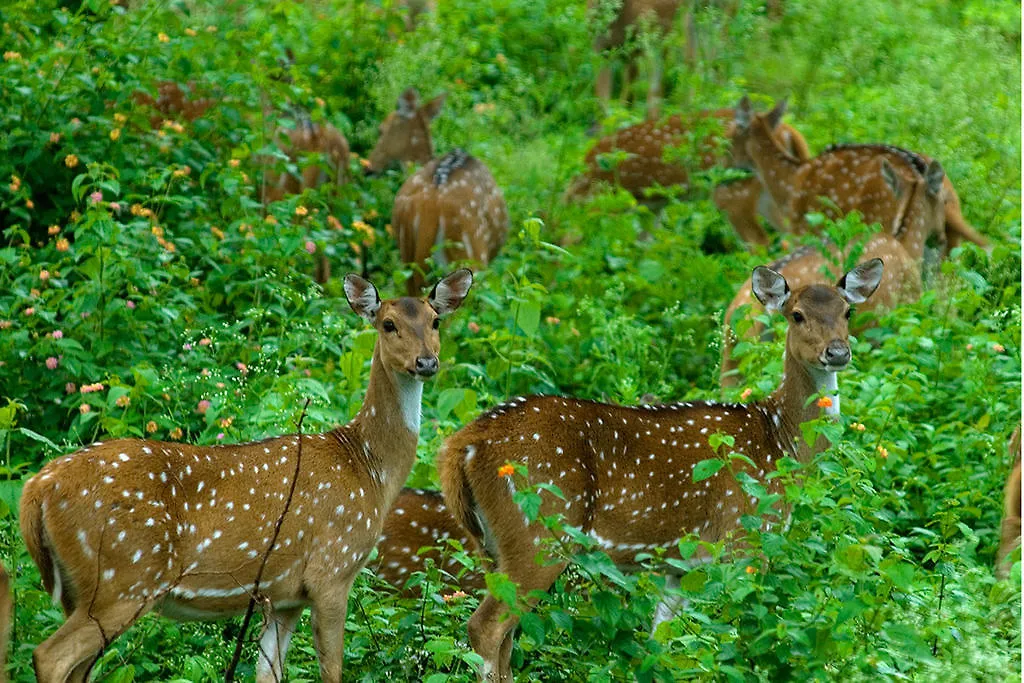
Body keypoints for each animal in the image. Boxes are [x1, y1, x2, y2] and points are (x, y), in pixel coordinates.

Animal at [18, 268, 475, 683]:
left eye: (435, 321)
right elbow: (332, 670)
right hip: (123, 577)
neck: (368, 468)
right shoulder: (332, 569)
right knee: (49, 655)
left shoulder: (286, 595)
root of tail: (35, 490)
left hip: (81, 589)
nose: (426, 362)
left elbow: (267, 673)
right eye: (388, 323)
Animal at [436, 259, 884, 679]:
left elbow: (663, 642)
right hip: (540, 531)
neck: (779, 441)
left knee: (506, 636)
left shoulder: (680, 565)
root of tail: (463, 445)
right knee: (486, 628)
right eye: (796, 315)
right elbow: (739, 627)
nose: (837, 353)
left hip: (492, 544)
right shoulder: (747, 538)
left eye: (847, 311)